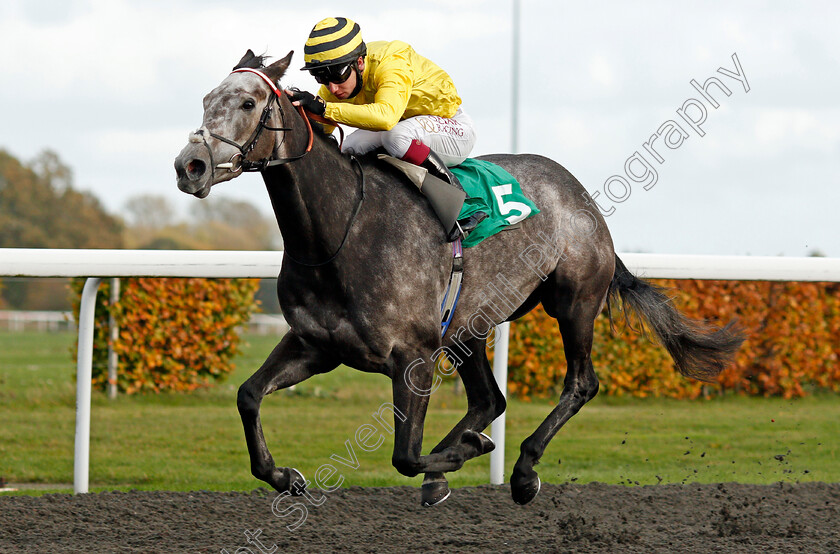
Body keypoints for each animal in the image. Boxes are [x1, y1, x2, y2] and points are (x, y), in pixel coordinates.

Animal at [172, 51, 740, 504]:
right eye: (205, 99)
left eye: (248, 104)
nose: (190, 165)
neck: (338, 233)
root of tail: (583, 198)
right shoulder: (317, 344)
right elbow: (248, 395)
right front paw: (285, 476)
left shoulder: (413, 356)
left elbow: (404, 455)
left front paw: (466, 453)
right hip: (470, 325)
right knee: (491, 399)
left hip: (574, 300)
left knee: (580, 382)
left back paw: (522, 469)